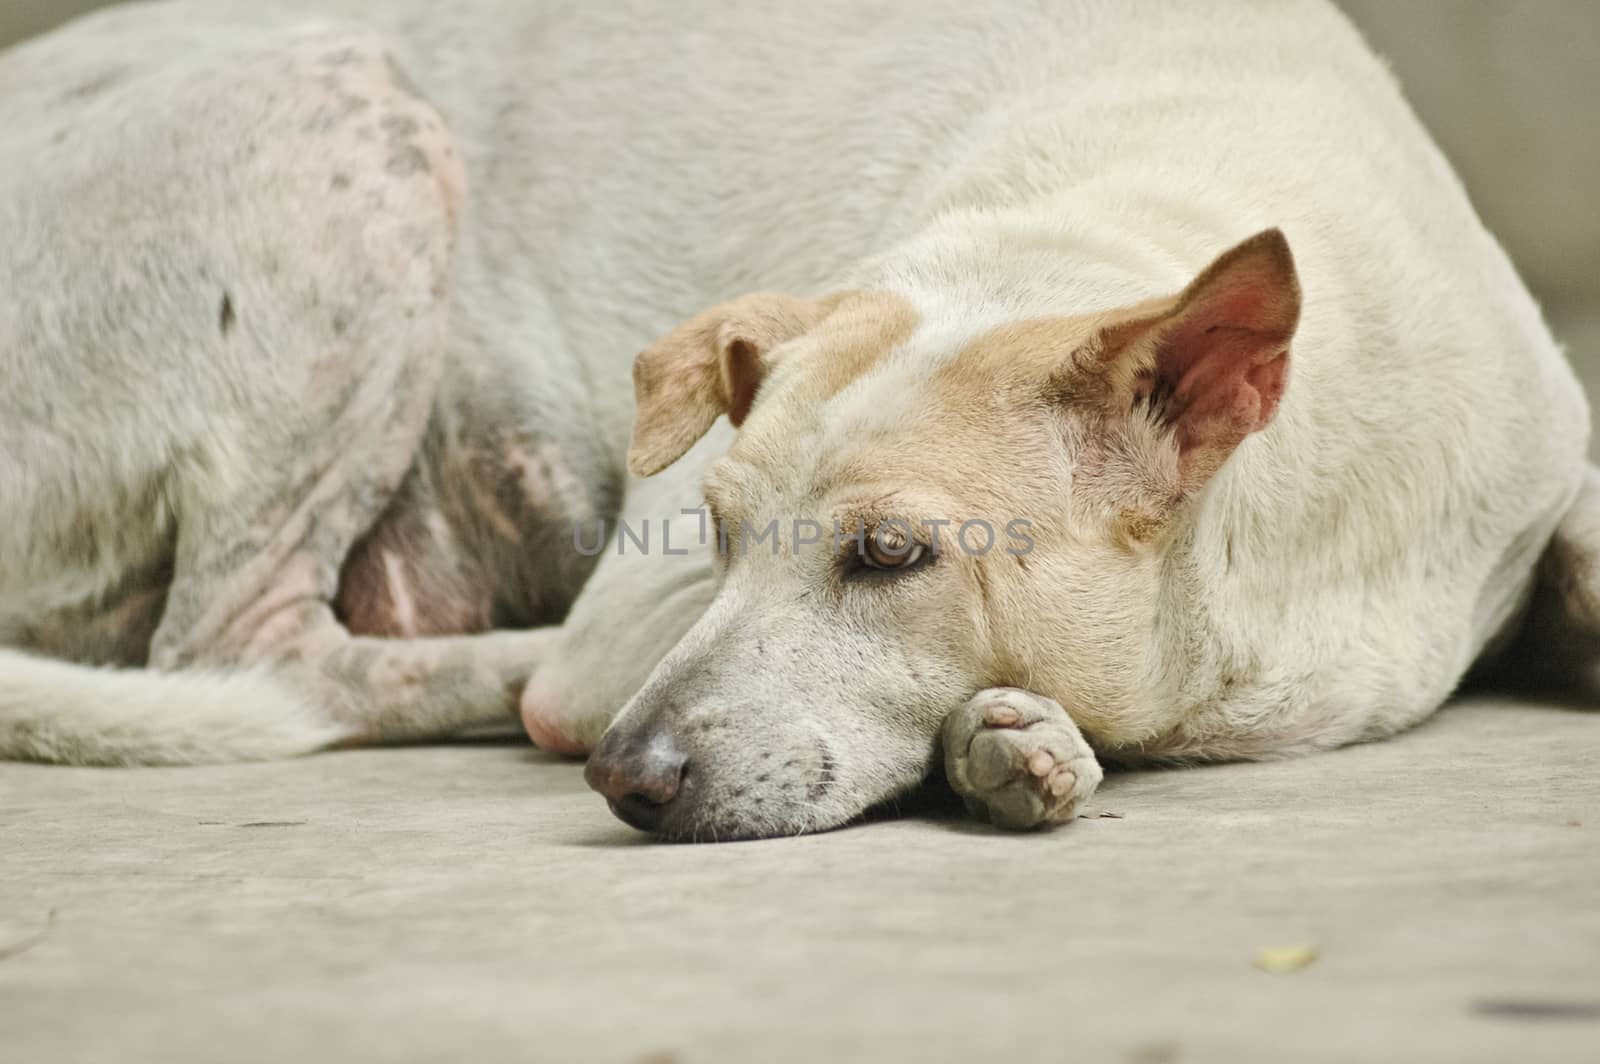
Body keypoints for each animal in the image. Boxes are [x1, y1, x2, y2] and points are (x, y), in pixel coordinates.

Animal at [0, 0, 1593, 838]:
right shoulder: (628, 613)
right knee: (240, 649)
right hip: (338, 111)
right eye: (713, 534)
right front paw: (1008, 743)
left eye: (890, 557)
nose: (623, 772)